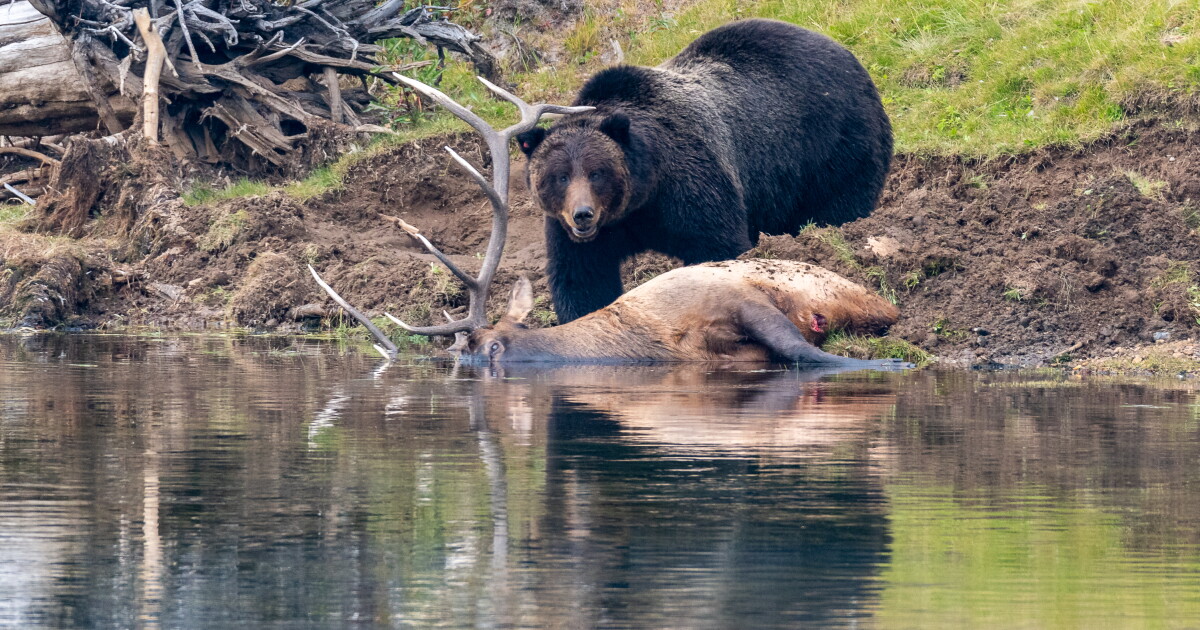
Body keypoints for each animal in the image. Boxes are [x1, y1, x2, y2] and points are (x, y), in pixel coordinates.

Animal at [516, 18, 893, 324]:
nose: (583, 214)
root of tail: (844, 51)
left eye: (597, 172)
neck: (642, 197)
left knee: (841, 199)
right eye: (559, 176)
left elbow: (717, 243)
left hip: (831, 142)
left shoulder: (690, 185)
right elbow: (582, 279)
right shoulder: (577, 233)